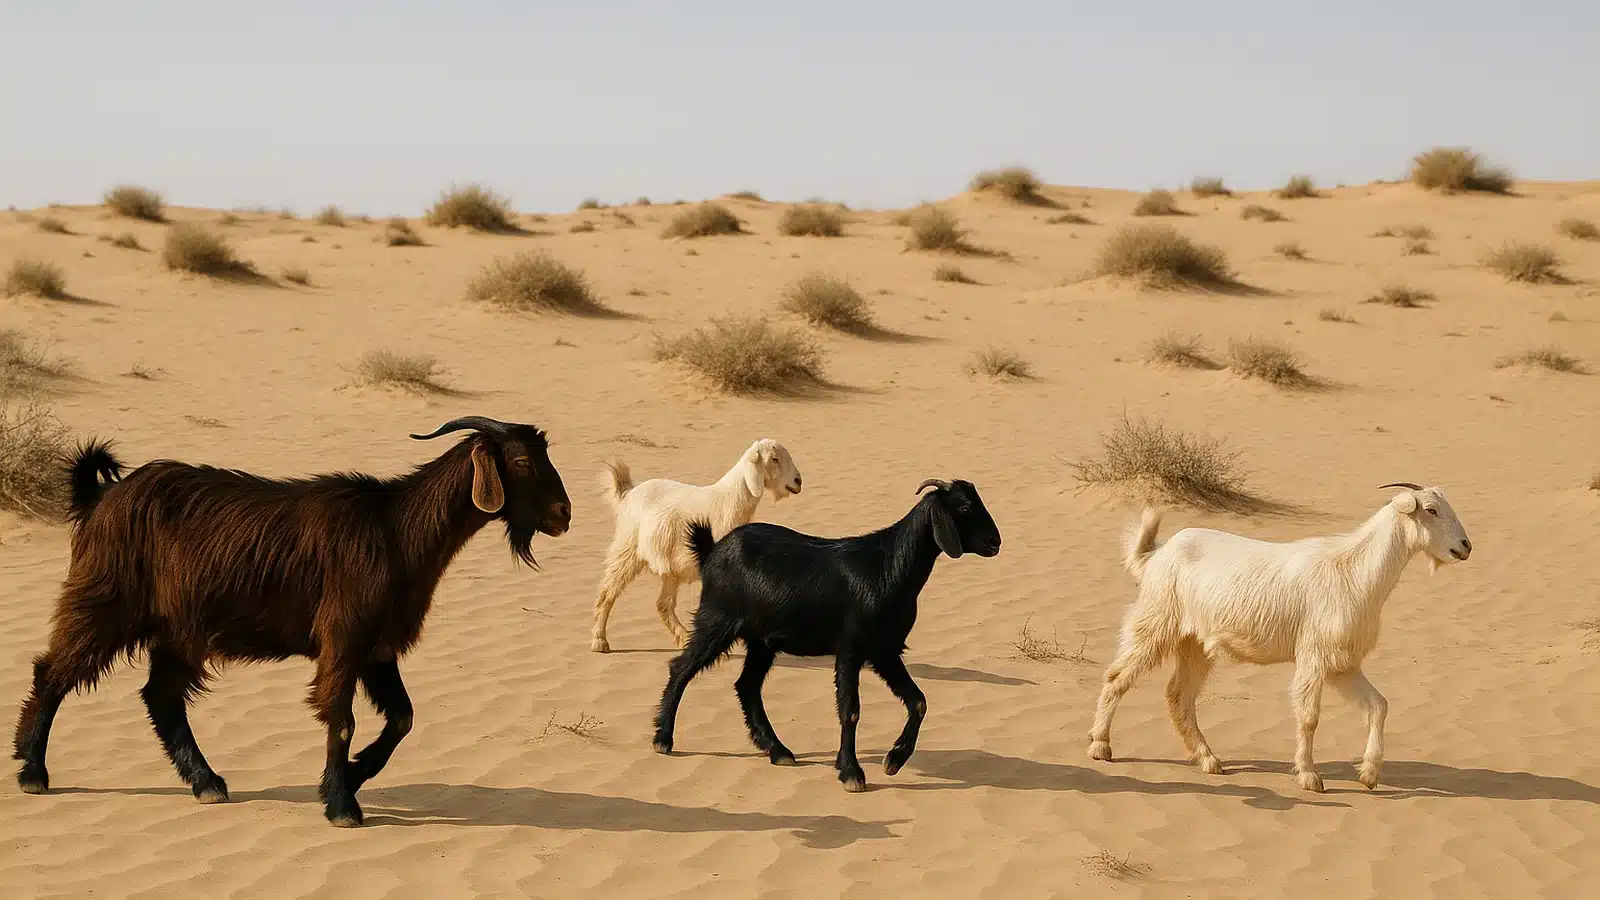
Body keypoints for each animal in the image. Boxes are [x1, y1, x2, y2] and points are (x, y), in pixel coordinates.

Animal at [12, 415, 572, 827]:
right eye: (522, 460)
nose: (564, 514)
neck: (397, 528)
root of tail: (102, 498)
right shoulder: (344, 636)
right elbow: (342, 719)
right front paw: (342, 804)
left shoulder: (377, 647)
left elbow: (402, 717)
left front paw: (351, 775)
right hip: (106, 602)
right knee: (54, 672)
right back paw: (33, 771)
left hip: (179, 629)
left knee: (162, 696)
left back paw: (207, 783)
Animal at [590, 439, 802, 652]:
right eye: (774, 459)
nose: (798, 481)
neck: (728, 502)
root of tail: (628, 492)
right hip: (626, 548)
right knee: (607, 592)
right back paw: (600, 641)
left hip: (669, 569)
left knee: (663, 604)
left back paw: (683, 637)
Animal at [652, 478, 1001, 793]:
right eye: (964, 507)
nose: (996, 542)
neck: (888, 567)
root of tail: (711, 552)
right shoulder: (850, 649)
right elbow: (851, 710)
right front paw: (851, 773)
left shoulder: (885, 650)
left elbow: (918, 702)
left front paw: (894, 759)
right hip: (717, 620)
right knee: (682, 669)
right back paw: (663, 738)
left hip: (761, 640)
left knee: (747, 685)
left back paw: (777, 750)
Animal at [1086, 483, 1472, 793]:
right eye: (1432, 510)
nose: (1465, 547)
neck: (1354, 570)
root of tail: (1156, 554)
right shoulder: (1314, 656)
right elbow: (1310, 717)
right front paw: (1309, 777)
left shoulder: (1342, 664)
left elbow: (1379, 705)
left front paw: (1369, 774)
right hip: (1155, 621)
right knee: (1117, 676)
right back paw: (1100, 745)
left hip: (1193, 643)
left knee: (1179, 695)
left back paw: (1209, 759)